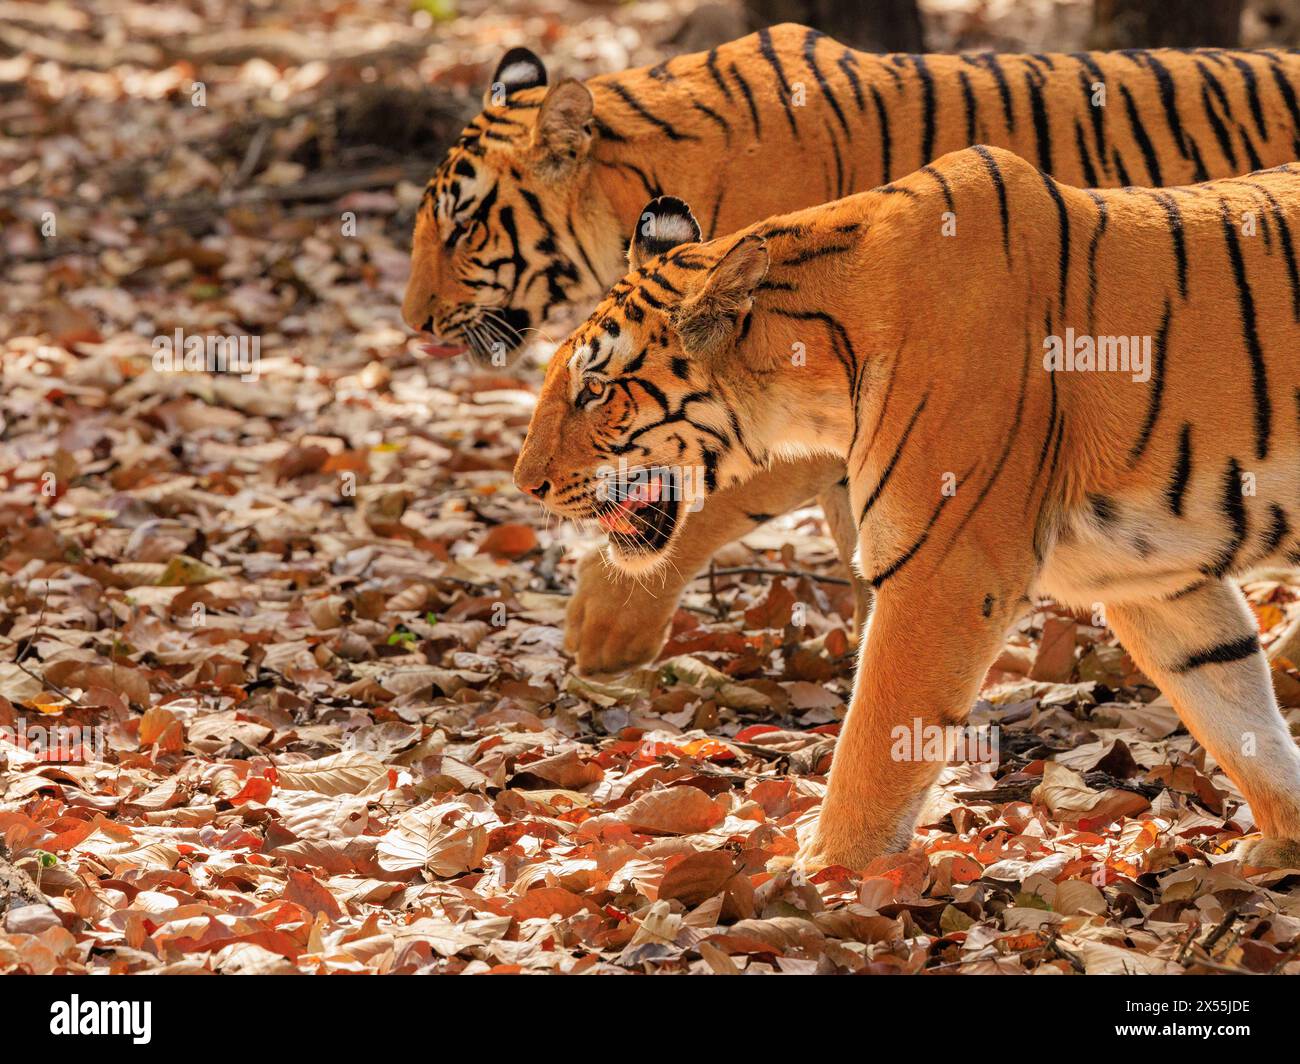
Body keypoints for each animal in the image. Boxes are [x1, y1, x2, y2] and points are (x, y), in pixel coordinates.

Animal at [512, 149, 1300, 874]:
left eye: (595, 391)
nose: (526, 483)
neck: (817, 373)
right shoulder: (1152, 575)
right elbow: (1237, 711)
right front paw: (1288, 842)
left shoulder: (944, 567)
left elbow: (877, 738)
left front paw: (821, 875)